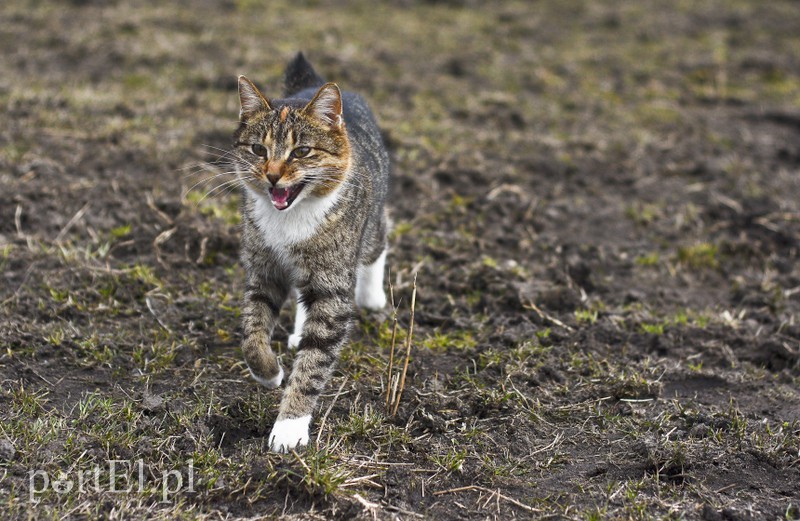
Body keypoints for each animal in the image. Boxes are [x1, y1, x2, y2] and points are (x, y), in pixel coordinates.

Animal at [228, 53, 390, 450]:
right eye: (258, 149)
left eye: (302, 151)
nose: (272, 176)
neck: (289, 219)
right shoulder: (264, 270)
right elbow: (252, 330)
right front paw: (269, 373)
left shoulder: (332, 281)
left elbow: (315, 360)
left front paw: (290, 427)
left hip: (367, 230)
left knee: (378, 242)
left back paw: (373, 296)